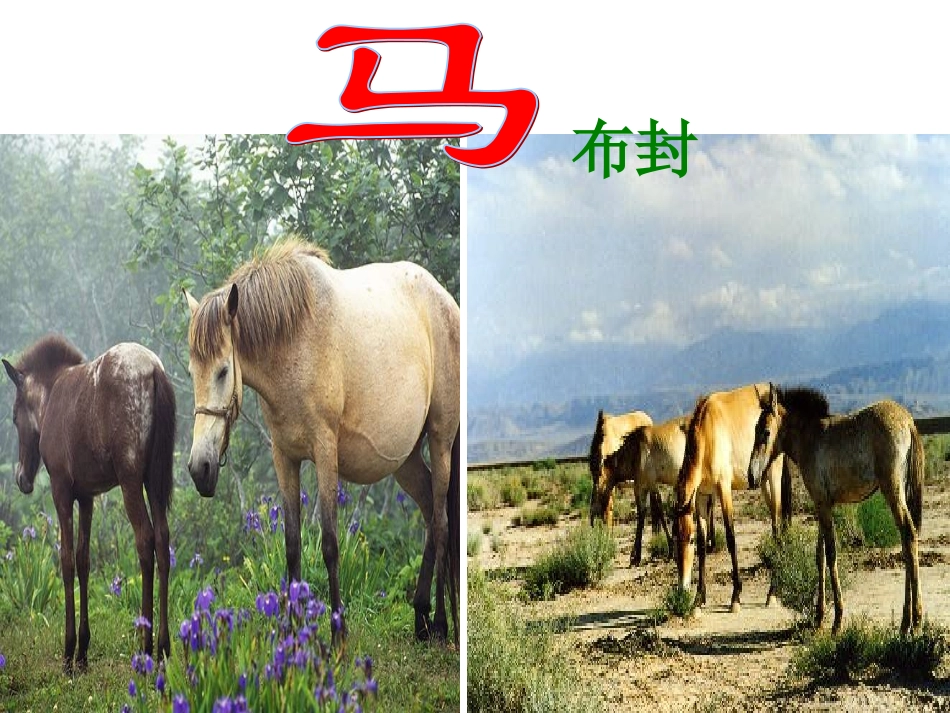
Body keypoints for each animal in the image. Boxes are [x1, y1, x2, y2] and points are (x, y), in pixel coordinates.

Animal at [2, 336, 175, 671]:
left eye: (15, 416)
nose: (22, 478)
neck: (51, 397)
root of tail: (154, 371)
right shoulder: (87, 497)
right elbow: (84, 560)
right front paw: (83, 652)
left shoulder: (61, 490)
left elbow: (67, 561)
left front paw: (69, 652)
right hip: (154, 480)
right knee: (162, 540)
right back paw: (163, 646)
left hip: (131, 480)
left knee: (145, 540)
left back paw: (146, 647)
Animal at [183, 237, 460, 645]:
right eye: (192, 373)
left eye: (222, 371)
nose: (199, 468)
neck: (294, 339)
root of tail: (447, 302)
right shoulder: (284, 457)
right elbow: (292, 545)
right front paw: (291, 629)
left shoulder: (326, 452)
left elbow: (329, 544)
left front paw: (337, 633)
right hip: (405, 458)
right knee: (429, 512)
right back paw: (422, 616)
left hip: (441, 440)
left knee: (440, 523)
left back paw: (441, 622)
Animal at [600, 416, 718, 566]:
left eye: (599, 473)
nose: (601, 499)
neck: (635, 451)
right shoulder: (640, 488)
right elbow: (641, 516)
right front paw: (635, 556)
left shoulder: (652, 484)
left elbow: (659, 511)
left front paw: (670, 550)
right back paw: (710, 543)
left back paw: (709, 544)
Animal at [674, 383, 792, 612]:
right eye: (675, 538)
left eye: (689, 540)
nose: (682, 589)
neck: (707, 431)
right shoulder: (702, 496)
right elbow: (704, 544)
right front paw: (699, 599)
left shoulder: (724, 489)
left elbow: (730, 538)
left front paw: (735, 597)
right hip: (762, 482)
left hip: (773, 478)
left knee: (777, 527)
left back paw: (772, 593)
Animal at [748, 384, 923, 635]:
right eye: (755, 429)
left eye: (766, 432)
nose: (751, 477)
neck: (809, 437)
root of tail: (908, 422)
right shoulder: (822, 505)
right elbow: (819, 556)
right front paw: (819, 617)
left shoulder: (822, 504)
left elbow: (831, 555)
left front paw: (838, 620)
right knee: (907, 540)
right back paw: (904, 623)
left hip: (893, 490)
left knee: (908, 535)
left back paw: (915, 622)